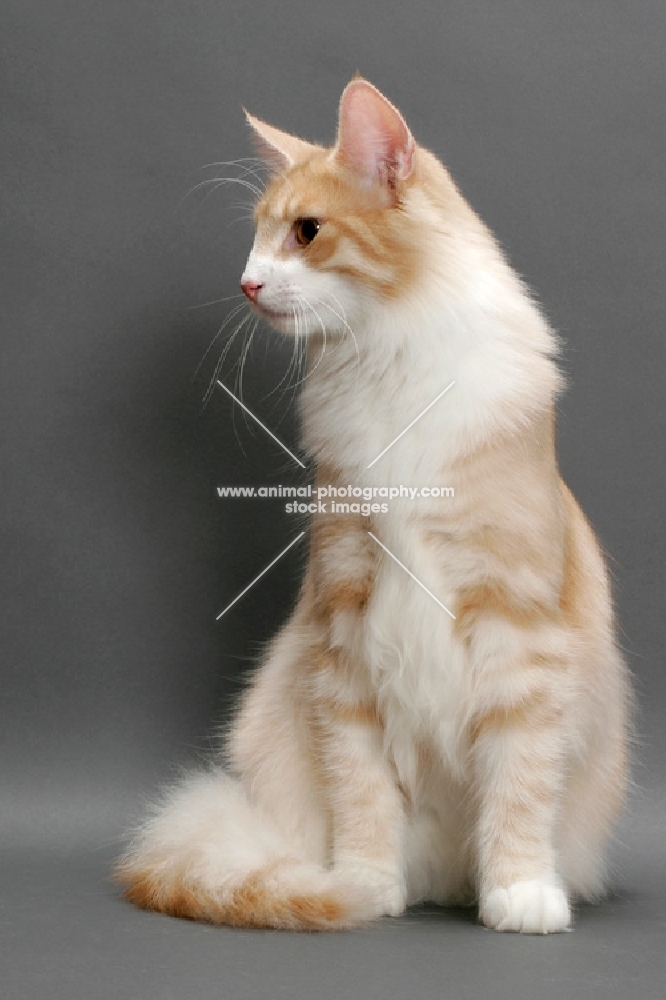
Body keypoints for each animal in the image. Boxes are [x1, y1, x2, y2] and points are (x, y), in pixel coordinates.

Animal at [116, 76, 632, 928]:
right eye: (258, 239)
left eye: (306, 232)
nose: (247, 283)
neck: (383, 364)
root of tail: (444, 878)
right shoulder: (344, 627)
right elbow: (361, 791)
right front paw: (362, 883)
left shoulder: (517, 629)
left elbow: (519, 786)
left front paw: (519, 891)